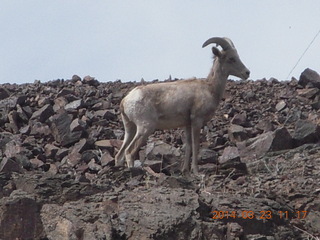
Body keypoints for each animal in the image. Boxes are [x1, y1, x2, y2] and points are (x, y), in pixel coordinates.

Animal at [115, 37, 250, 174]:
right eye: (231, 58)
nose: (247, 73)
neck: (210, 88)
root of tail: (125, 100)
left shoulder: (187, 125)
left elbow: (189, 146)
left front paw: (185, 170)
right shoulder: (196, 121)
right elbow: (195, 145)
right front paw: (196, 172)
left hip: (130, 129)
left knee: (119, 155)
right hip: (145, 127)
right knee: (129, 152)